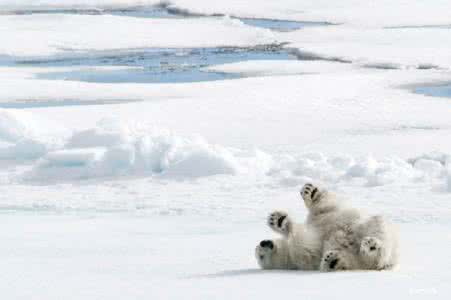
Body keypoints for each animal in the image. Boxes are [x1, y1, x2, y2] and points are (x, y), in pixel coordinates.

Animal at [256, 183, 400, 272]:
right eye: (260, 256)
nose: (264, 243)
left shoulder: (322, 219)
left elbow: (326, 208)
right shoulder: (301, 257)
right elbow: (307, 243)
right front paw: (283, 223)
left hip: (367, 227)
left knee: (378, 226)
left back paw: (371, 244)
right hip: (355, 260)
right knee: (359, 261)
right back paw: (334, 260)